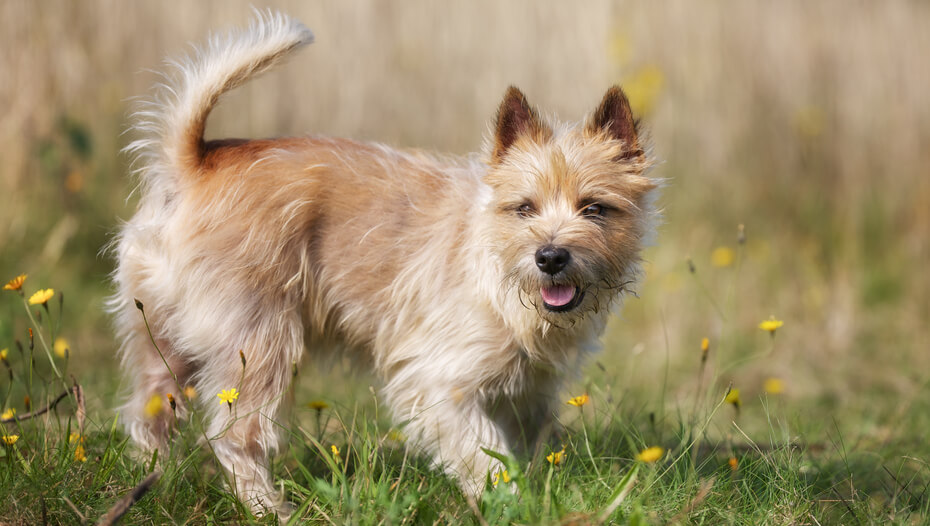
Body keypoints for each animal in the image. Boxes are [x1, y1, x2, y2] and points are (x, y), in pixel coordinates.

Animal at [109, 10, 656, 512]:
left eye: (594, 208)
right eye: (524, 208)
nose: (551, 256)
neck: (500, 277)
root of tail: (193, 162)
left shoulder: (528, 392)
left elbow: (522, 445)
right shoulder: (438, 381)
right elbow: (483, 452)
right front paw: (508, 501)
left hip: (164, 341)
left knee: (147, 412)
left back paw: (147, 484)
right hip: (258, 344)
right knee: (234, 436)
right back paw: (268, 508)